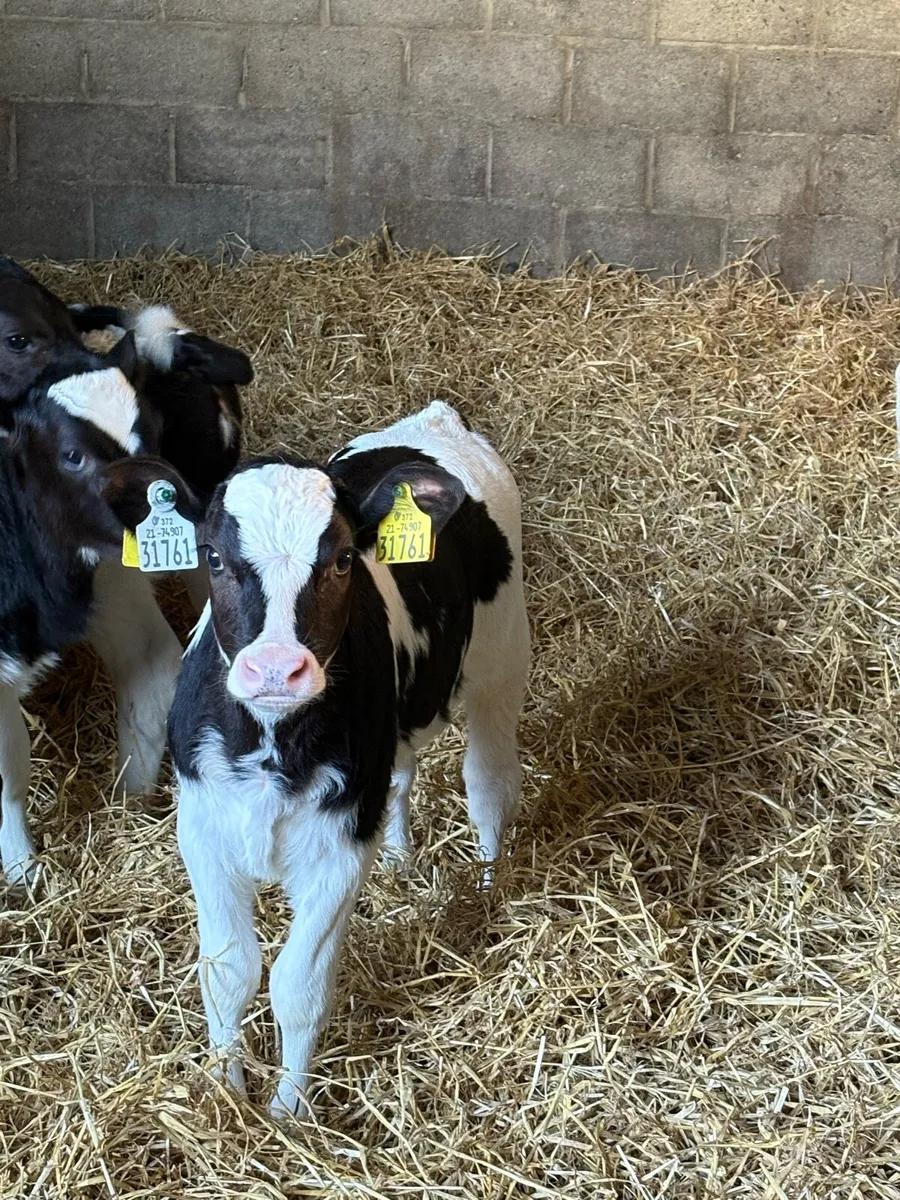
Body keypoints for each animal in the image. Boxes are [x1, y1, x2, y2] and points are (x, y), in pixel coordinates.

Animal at [0, 339, 183, 887]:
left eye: (154, 429)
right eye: (72, 456)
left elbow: (150, 689)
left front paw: (130, 808)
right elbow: (9, 768)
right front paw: (21, 868)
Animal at [101, 401, 530, 1118]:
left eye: (341, 561)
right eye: (212, 557)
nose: (277, 668)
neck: (274, 747)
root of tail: (433, 420)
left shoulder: (337, 851)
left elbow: (296, 986)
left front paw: (289, 1112)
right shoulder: (204, 832)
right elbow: (228, 970)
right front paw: (228, 1090)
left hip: (502, 659)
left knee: (489, 784)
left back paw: (489, 888)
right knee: (404, 776)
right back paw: (401, 858)